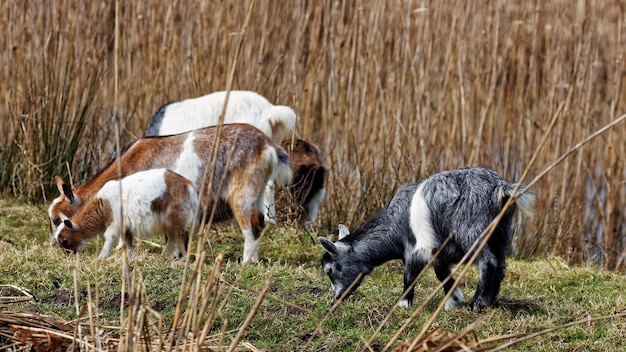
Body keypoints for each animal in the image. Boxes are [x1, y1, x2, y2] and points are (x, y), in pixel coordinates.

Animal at [53, 168, 196, 258]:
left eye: (65, 241)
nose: (68, 255)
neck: (103, 205)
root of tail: (187, 184)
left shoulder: (115, 223)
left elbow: (110, 237)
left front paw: (102, 257)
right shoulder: (126, 226)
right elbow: (127, 241)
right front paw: (131, 256)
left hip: (176, 215)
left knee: (181, 235)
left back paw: (182, 259)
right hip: (168, 221)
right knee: (172, 236)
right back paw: (166, 256)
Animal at [320, 166, 532, 312]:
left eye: (329, 270)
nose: (338, 297)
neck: (394, 225)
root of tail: (500, 187)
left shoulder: (417, 248)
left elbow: (410, 274)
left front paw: (404, 304)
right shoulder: (438, 252)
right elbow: (441, 273)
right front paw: (453, 300)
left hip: (471, 230)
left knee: (487, 262)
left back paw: (477, 304)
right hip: (502, 232)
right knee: (500, 265)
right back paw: (488, 301)